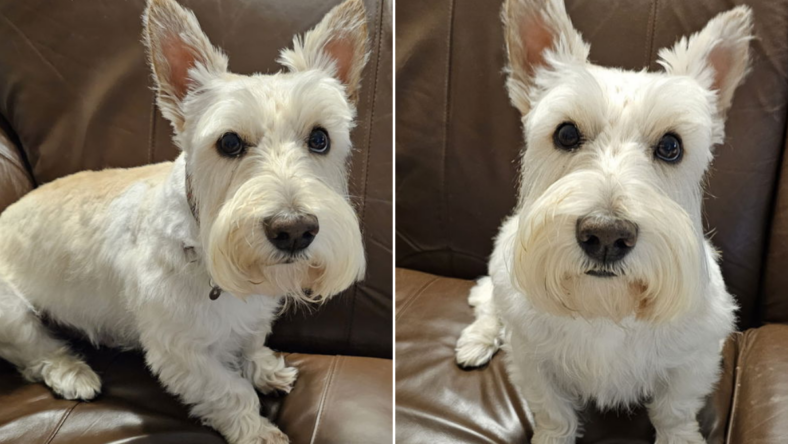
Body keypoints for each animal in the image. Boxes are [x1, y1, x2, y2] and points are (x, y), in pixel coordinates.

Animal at [0, 0, 366, 442]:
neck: (201, 242)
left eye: (319, 139)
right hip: (11, 313)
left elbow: (251, 344)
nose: (294, 231)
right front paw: (258, 430)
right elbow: (231, 392)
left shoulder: (251, 317)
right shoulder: (180, 352)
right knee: (35, 351)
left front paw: (265, 370)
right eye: (229, 142)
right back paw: (72, 372)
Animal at [456, 0, 752, 444]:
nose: (607, 236)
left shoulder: (695, 357)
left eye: (671, 146)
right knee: (489, 304)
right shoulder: (531, 357)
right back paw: (476, 341)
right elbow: (553, 412)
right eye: (565, 134)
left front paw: (680, 436)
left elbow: (674, 410)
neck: (605, 306)